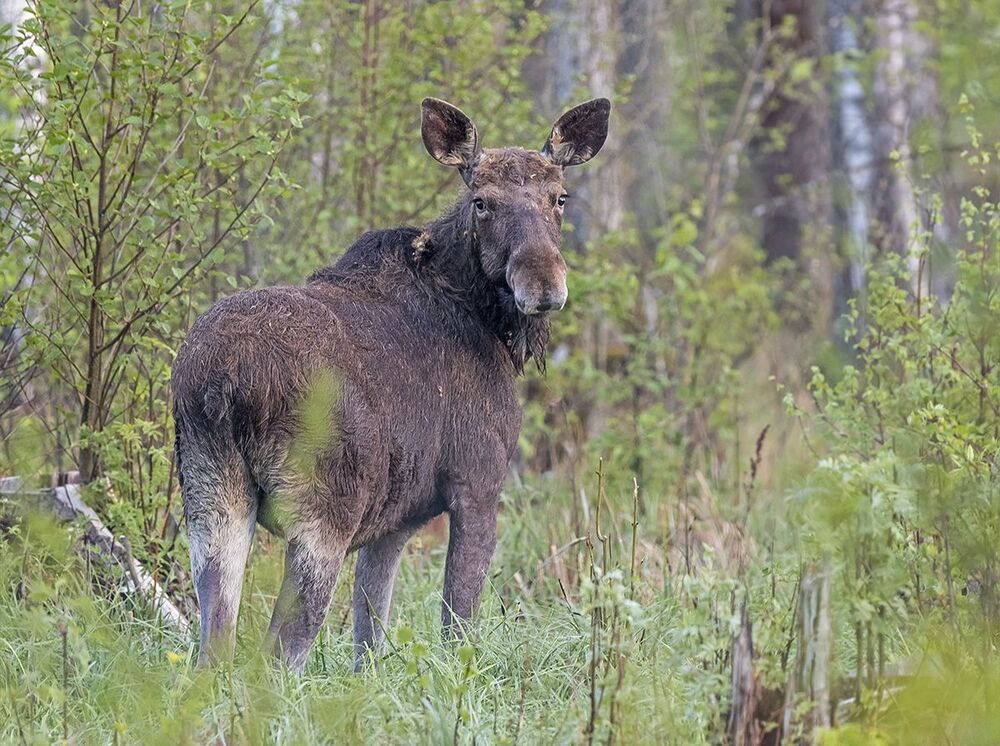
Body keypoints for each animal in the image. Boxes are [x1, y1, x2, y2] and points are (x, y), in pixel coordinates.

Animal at [171, 97, 610, 671]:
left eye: (560, 197)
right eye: (481, 202)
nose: (544, 285)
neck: (490, 324)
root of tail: (224, 383)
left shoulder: (394, 523)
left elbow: (369, 639)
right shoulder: (478, 484)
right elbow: (456, 626)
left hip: (210, 501)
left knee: (213, 648)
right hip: (323, 516)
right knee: (278, 655)